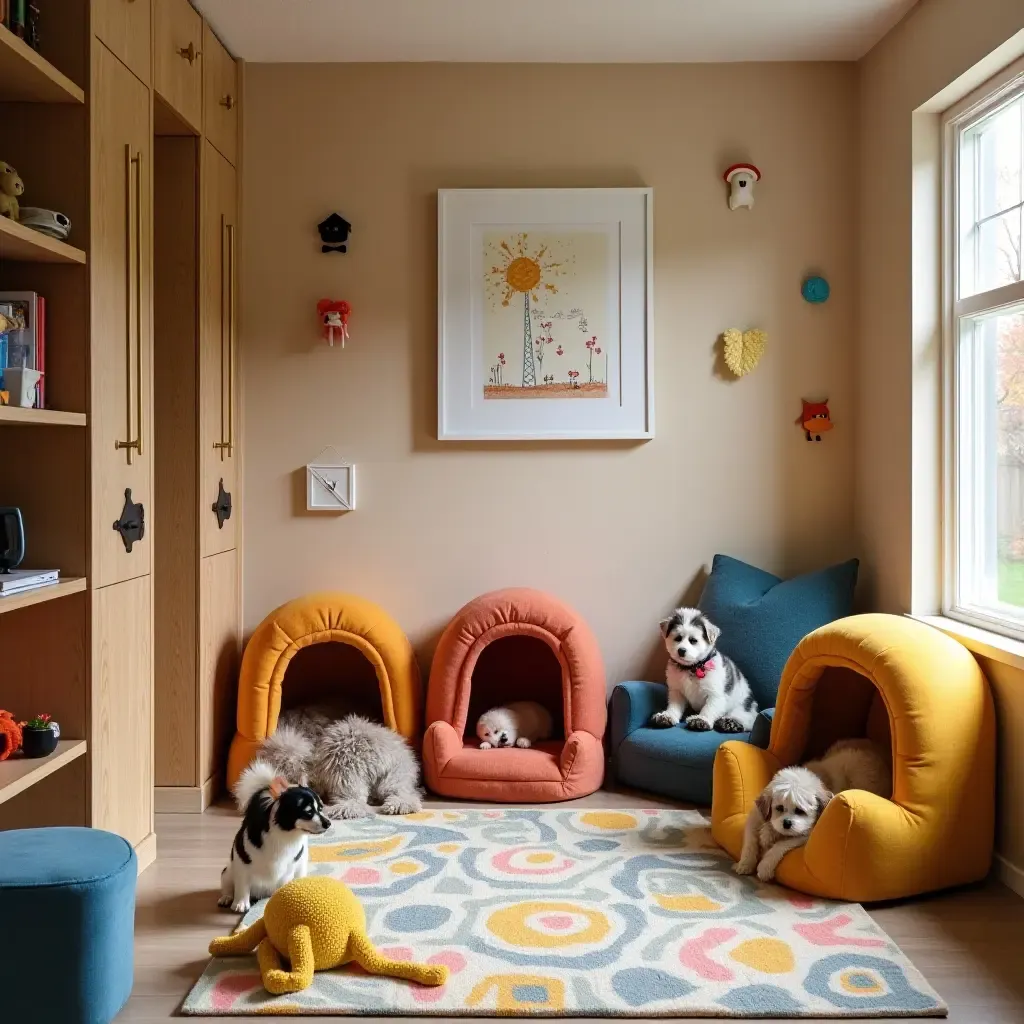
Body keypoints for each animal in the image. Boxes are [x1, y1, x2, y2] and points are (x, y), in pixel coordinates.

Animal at [219, 761, 331, 913]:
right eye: (308, 812)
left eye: (321, 809)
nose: (328, 823)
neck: (286, 835)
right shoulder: (241, 862)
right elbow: (242, 884)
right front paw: (240, 903)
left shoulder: (288, 869)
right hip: (228, 872)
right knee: (228, 885)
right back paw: (226, 897)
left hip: (301, 866)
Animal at [647, 602, 761, 733]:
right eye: (678, 638)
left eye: (693, 640)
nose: (681, 651)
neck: (692, 668)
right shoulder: (677, 692)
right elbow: (674, 706)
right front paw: (668, 716)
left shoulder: (715, 694)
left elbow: (709, 708)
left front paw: (701, 719)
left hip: (743, 707)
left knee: (745, 719)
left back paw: (730, 722)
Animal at [733, 741, 892, 884]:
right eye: (779, 808)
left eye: (800, 811)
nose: (787, 823)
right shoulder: (755, 817)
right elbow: (750, 841)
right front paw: (745, 863)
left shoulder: (806, 833)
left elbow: (781, 845)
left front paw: (765, 867)